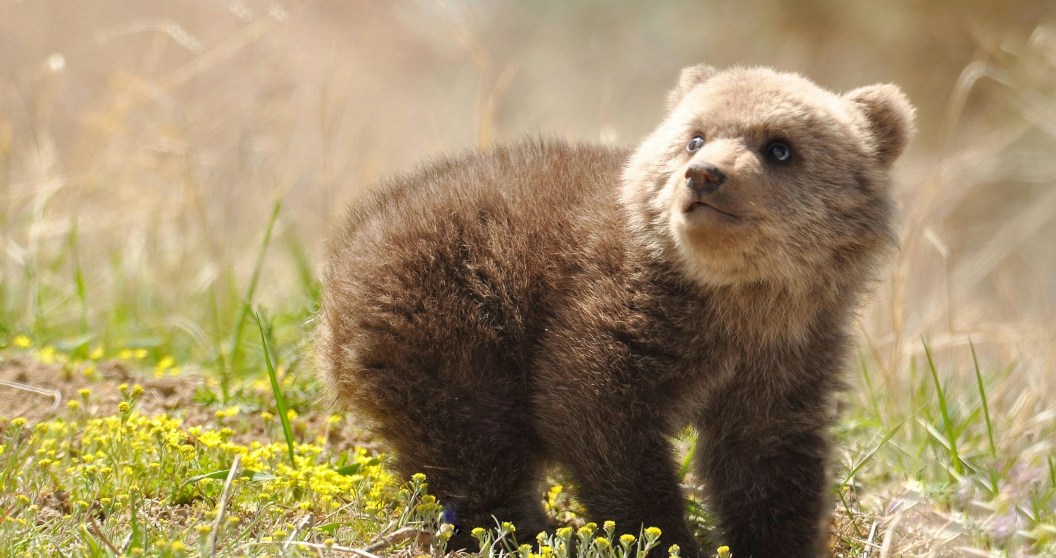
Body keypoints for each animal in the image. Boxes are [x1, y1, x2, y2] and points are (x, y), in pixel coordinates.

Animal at [318, 64, 914, 558]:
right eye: (695, 136)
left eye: (780, 146)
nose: (705, 174)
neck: (734, 299)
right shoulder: (617, 312)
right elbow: (598, 412)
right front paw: (661, 537)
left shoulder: (787, 356)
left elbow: (768, 459)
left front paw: (775, 541)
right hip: (457, 312)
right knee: (470, 437)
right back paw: (519, 531)